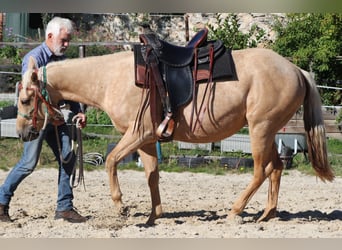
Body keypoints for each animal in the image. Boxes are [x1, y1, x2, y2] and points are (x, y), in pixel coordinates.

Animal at [16, 47, 334, 224]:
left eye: (25, 100)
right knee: (276, 168)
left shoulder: (138, 133)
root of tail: (296, 70)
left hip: (260, 129)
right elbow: (152, 176)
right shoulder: (146, 140)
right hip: (268, 132)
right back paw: (267, 214)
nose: (23, 133)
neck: (110, 78)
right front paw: (153, 216)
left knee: (260, 171)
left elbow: (111, 161)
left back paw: (235, 211)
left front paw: (121, 207)